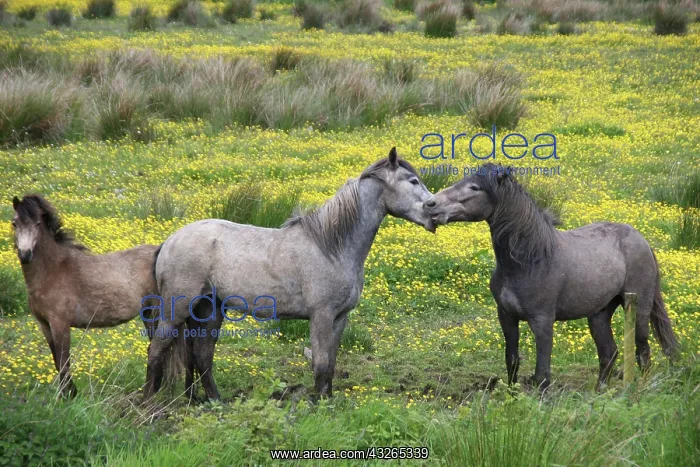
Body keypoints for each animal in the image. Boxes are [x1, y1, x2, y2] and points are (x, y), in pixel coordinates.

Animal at [10, 194, 185, 398]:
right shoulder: (44, 325)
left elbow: (64, 362)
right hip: (149, 313)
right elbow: (57, 362)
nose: (25, 255)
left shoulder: (60, 324)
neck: (55, 270)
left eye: (38, 223)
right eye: (14, 223)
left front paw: (67, 397)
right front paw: (69, 394)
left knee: (157, 350)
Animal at [142, 148, 436, 401]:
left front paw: (328, 401)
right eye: (412, 181)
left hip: (209, 308)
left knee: (201, 355)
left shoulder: (340, 317)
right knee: (156, 350)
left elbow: (331, 363)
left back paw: (213, 401)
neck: (331, 247)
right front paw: (318, 405)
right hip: (177, 310)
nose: (434, 210)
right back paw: (148, 403)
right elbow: (320, 363)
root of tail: (169, 241)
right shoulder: (321, 315)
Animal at [424, 163, 679, 390]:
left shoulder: (542, 321)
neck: (529, 261)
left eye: (475, 187)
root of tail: (641, 239)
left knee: (643, 352)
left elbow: (542, 373)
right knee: (609, 353)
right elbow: (512, 362)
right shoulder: (506, 316)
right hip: (599, 314)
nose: (430, 204)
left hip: (638, 309)